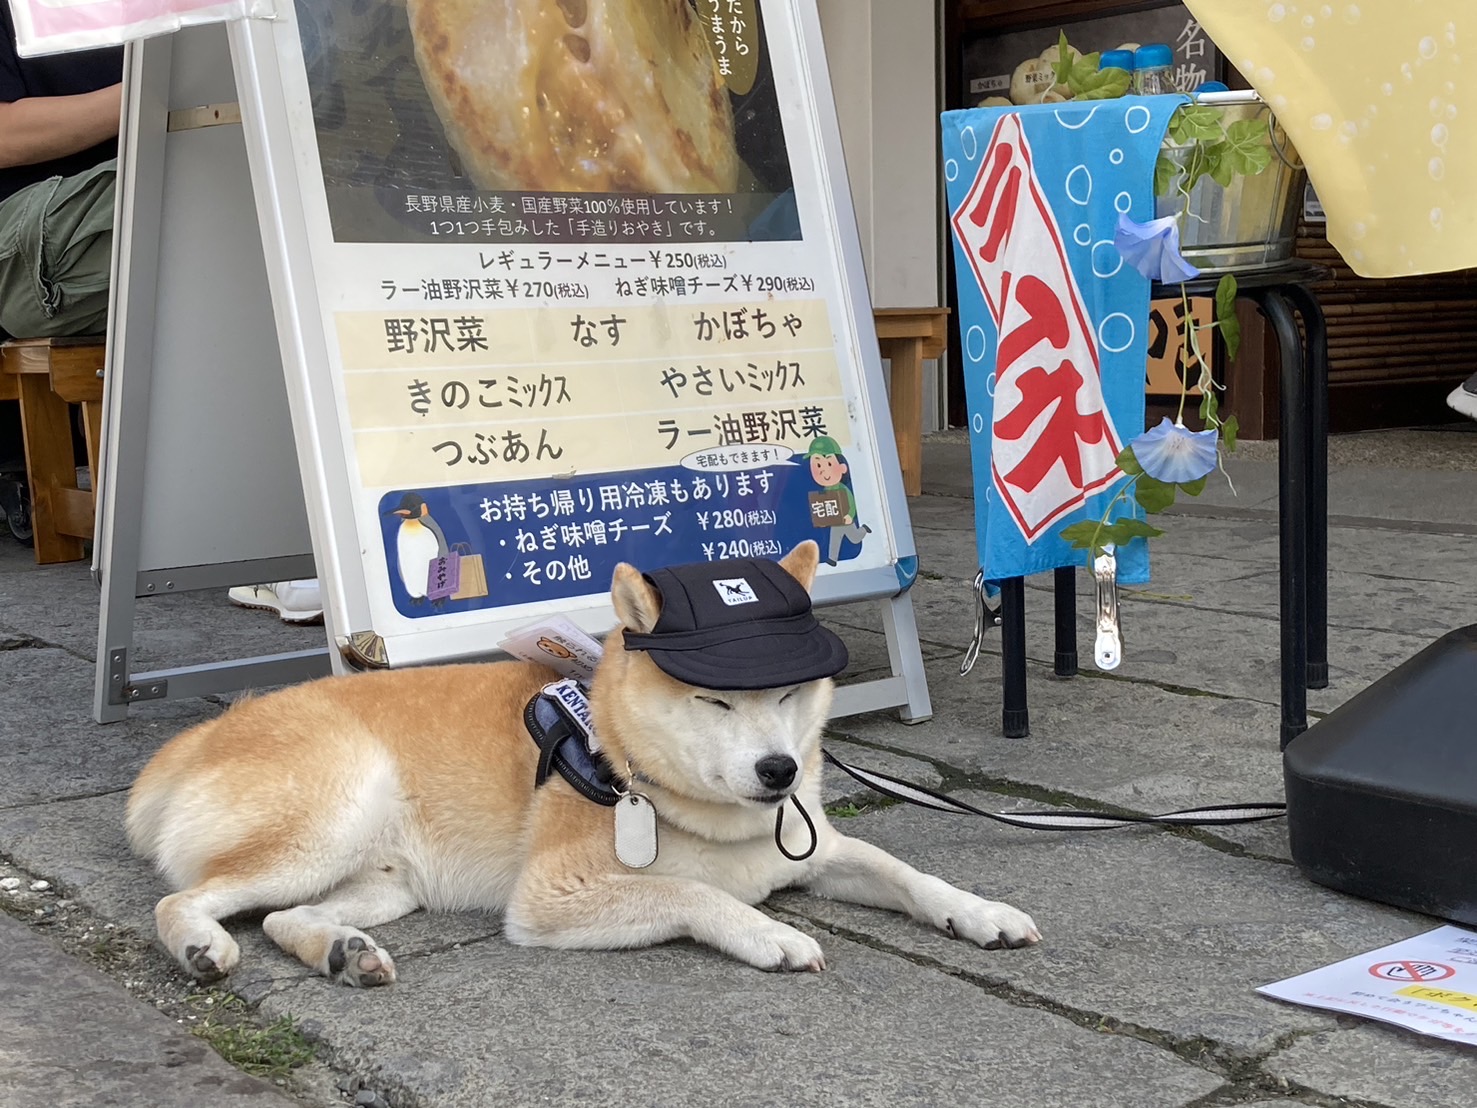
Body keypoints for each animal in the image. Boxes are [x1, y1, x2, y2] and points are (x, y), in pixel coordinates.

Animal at [126, 541, 1040, 986]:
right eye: (715, 703)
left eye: (787, 690)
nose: (779, 771)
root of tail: (192, 742)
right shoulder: (550, 896)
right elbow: (690, 893)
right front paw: (770, 934)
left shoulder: (818, 846)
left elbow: (908, 873)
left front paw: (981, 913)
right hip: (332, 815)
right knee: (185, 900)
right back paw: (200, 945)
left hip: (386, 881)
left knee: (286, 918)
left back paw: (343, 954)